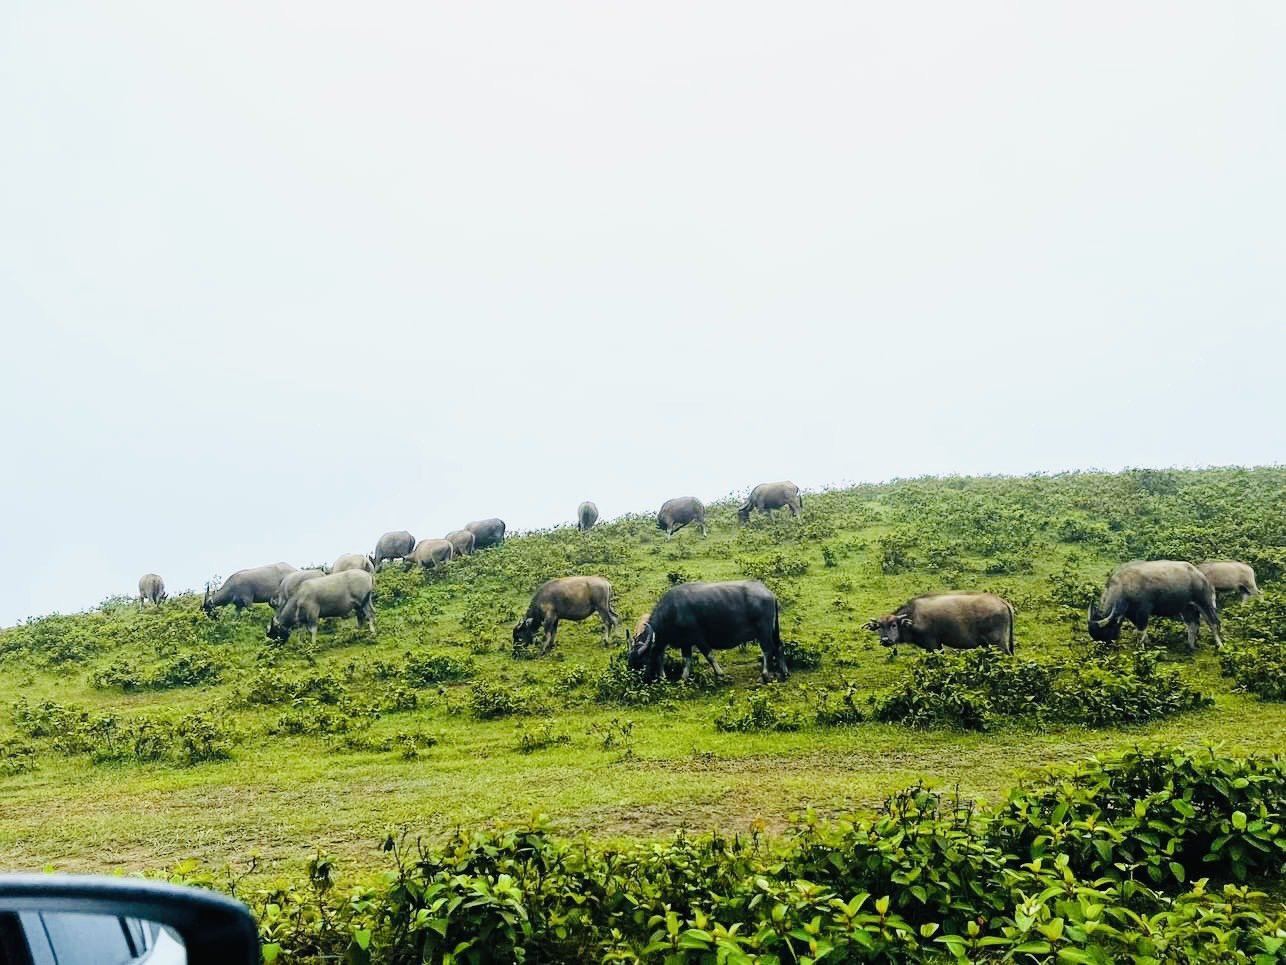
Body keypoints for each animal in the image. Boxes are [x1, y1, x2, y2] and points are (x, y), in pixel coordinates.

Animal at [622, 579, 781, 684]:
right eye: (630, 662)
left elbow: (709, 655)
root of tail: (769, 593)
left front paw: (720, 674)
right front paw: (681, 679)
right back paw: (782, 672)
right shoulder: (684, 643)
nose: (636, 681)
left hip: (763, 631)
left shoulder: (698, 638)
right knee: (778, 646)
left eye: (642, 661)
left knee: (767, 649)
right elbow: (686, 660)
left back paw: (765, 675)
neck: (672, 612)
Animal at [864, 589, 1013, 658]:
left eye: (893, 625)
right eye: (879, 627)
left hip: (997, 643)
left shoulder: (932, 644)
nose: (885, 640)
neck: (914, 616)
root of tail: (1001, 601)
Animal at [1090, 563, 1219, 653]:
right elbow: (1140, 630)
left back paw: (1220, 646)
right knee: (1193, 624)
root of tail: (1202, 577)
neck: (1124, 586)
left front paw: (1141, 648)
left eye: (1106, 632)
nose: (1103, 649)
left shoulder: (1143, 611)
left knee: (1213, 622)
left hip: (1204, 603)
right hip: (1187, 607)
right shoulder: (1132, 614)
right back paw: (1190, 646)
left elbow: (1141, 631)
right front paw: (1147, 642)